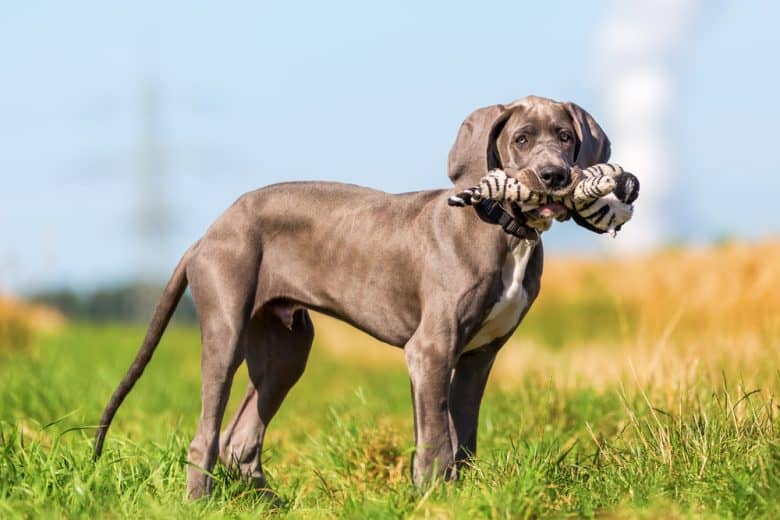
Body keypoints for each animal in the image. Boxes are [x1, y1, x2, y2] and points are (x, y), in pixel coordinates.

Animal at [94, 94, 612, 500]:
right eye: (521, 139)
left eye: (566, 136)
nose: (554, 175)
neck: (504, 230)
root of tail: (207, 232)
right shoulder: (431, 349)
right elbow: (437, 440)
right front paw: (432, 499)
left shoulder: (477, 357)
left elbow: (462, 438)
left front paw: (458, 498)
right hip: (226, 328)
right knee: (205, 435)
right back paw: (199, 502)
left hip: (286, 349)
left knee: (239, 438)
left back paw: (272, 504)